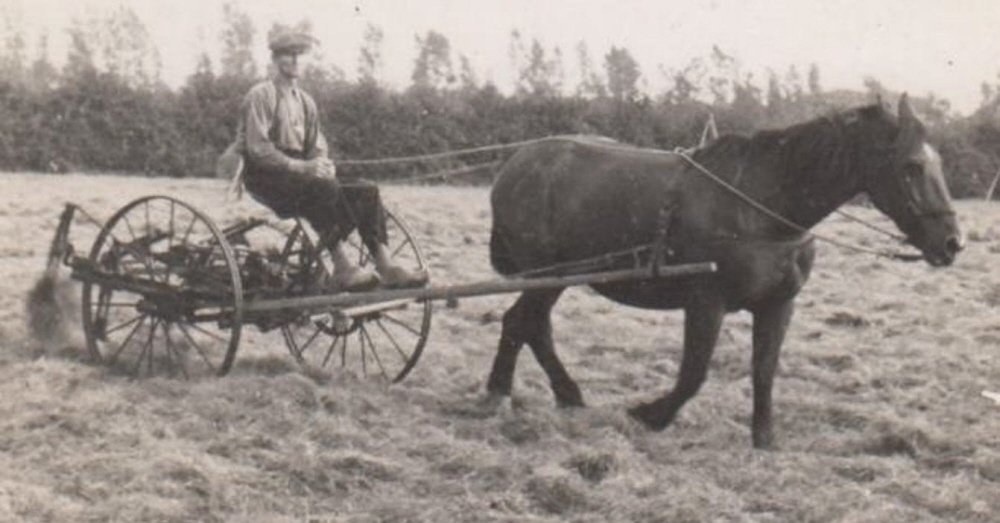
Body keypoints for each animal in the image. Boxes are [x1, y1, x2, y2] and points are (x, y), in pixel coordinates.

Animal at [488, 96, 964, 448]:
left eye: (938, 162)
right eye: (911, 167)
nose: (952, 243)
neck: (761, 207)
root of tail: (517, 163)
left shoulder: (778, 304)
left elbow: (764, 369)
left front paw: (763, 438)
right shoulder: (706, 301)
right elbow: (694, 373)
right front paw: (651, 414)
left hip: (557, 277)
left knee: (531, 326)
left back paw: (560, 393)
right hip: (546, 275)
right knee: (521, 323)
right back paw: (500, 392)